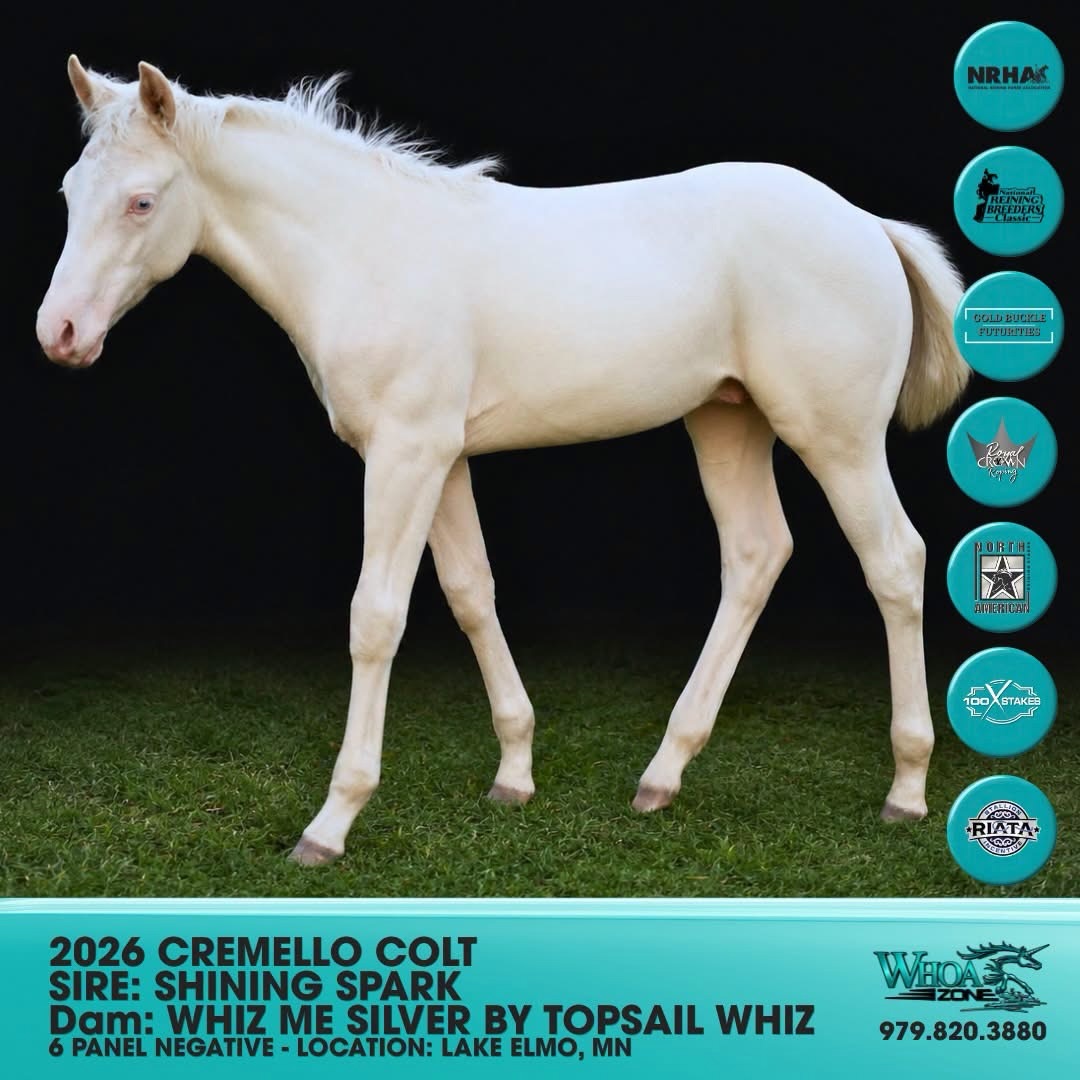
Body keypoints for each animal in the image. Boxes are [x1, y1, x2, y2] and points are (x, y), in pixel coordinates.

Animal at [36, 58, 970, 866]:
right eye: (71, 193)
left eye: (143, 201)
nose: (61, 333)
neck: (366, 248)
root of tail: (868, 224)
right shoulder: (441, 458)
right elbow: (470, 594)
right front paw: (514, 774)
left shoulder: (404, 455)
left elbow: (376, 618)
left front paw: (332, 821)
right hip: (726, 421)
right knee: (754, 555)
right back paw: (663, 774)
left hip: (837, 438)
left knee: (895, 561)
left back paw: (907, 787)